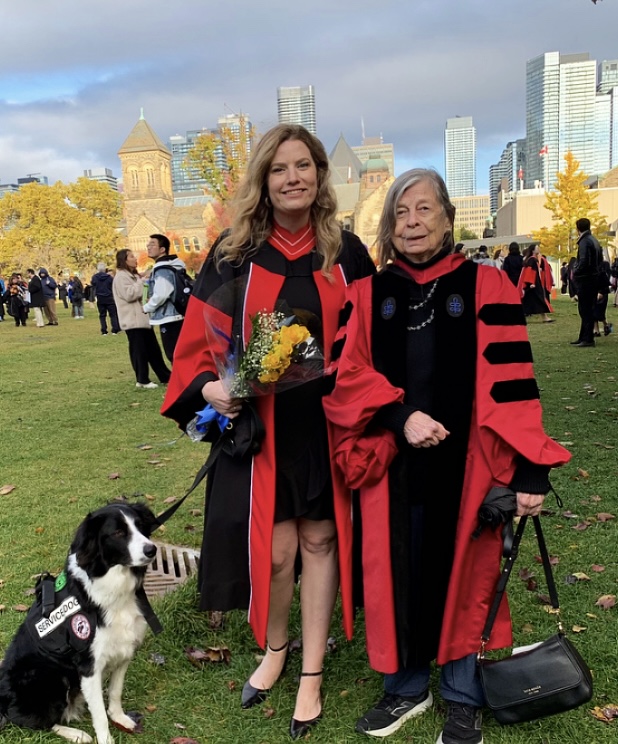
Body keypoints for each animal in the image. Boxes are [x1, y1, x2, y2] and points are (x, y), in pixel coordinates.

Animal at [0, 502, 159, 740]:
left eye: (140, 527)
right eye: (118, 533)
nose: (152, 549)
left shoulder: (124, 651)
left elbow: (115, 692)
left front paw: (120, 718)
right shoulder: (88, 666)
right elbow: (100, 715)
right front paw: (105, 740)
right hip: (50, 677)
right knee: (38, 722)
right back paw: (76, 734)